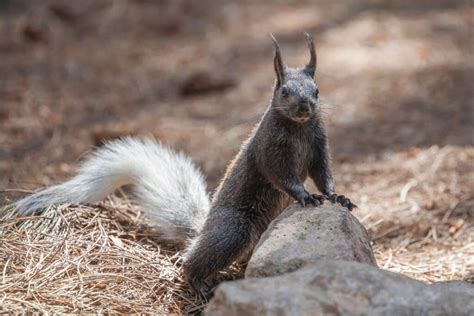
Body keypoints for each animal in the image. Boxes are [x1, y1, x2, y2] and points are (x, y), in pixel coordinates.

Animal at [9, 33, 356, 298]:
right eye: (284, 91)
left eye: (317, 91)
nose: (305, 107)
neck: (298, 128)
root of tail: (201, 230)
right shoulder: (270, 151)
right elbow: (283, 176)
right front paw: (305, 196)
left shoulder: (318, 147)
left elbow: (323, 174)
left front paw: (336, 196)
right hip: (234, 229)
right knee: (193, 261)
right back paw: (199, 283)